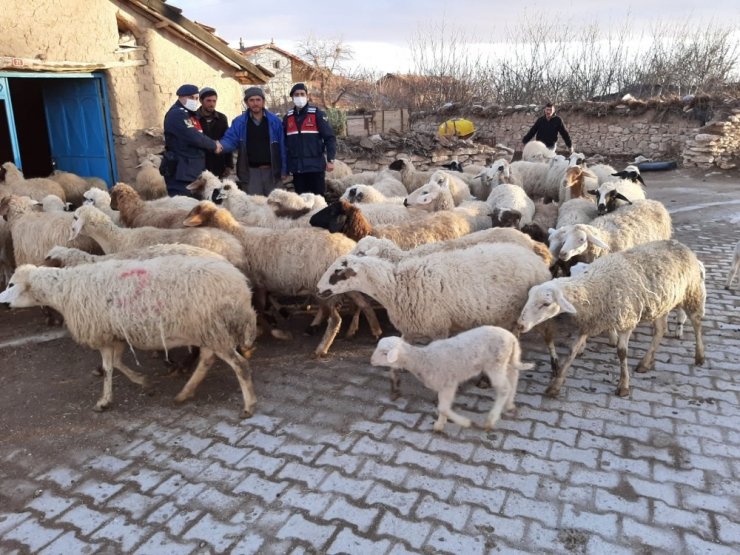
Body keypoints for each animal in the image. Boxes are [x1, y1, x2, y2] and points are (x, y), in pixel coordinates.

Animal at [0, 256, 260, 416]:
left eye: (11, 284)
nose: (1, 303)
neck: (65, 291)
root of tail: (242, 288)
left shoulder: (103, 335)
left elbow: (108, 368)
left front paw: (104, 401)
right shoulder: (115, 335)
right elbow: (114, 364)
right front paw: (144, 382)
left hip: (213, 328)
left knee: (239, 364)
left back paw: (249, 405)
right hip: (208, 330)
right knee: (207, 359)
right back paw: (184, 393)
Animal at [370, 328, 532, 432]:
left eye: (384, 353)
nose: (371, 361)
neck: (422, 360)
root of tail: (512, 338)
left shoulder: (449, 383)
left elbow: (443, 407)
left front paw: (464, 423)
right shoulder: (443, 386)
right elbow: (442, 407)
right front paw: (440, 424)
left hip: (495, 364)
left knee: (504, 388)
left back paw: (491, 420)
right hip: (507, 359)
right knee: (513, 377)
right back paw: (510, 404)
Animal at [516, 241, 708, 398]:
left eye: (546, 303)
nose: (520, 325)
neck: (595, 286)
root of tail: (681, 245)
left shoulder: (627, 319)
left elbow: (622, 352)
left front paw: (623, 385)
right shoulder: (590, 322)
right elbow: (572, 351)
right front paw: (555, 385)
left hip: (691, 292)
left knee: (697, 322)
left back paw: (699, 356)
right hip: (661, 302)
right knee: (661, 330)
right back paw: (645, 363)